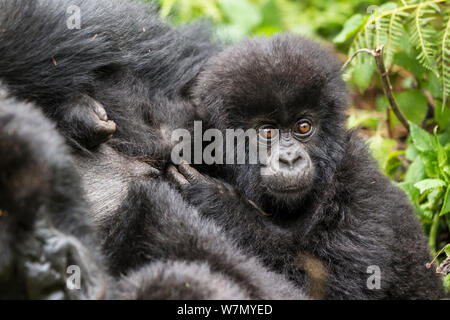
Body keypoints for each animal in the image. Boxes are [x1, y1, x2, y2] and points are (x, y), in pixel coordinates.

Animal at [170, 35, 446, 300]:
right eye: (267, 132)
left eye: (303, 127)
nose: (290, 159)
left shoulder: (358, 182)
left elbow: (339, 288)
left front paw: (222, 205)